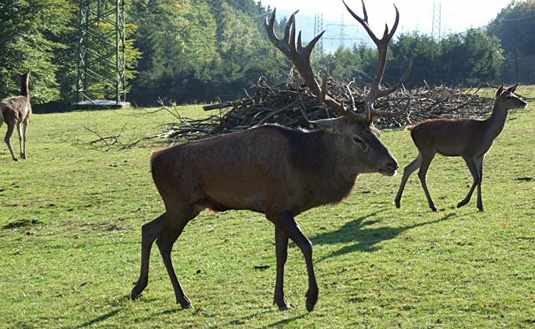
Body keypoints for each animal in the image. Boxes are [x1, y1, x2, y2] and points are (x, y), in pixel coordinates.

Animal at [130, 0, 410, 310]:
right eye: (357, 139)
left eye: (377, 131)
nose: (392, 163)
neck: (306, 170)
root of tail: (154, 159)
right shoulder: (276, 206)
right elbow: (307, 245)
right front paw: (310, 298)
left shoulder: (282, 210)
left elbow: (281, 252)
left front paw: (281, 299)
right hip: (179, 201)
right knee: (163, 241)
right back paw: (183, 298)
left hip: (186, 205)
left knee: (148, 228)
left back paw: (138, 287)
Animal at [398, 84, 528, 211]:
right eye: (508, 97)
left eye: (514, 94)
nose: (524, 103)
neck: (485, 133)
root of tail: (412, 129)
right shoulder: (467, 152)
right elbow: (476, 177)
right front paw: (462, 202)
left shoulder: (481, 155)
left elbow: (481, 177)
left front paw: (480, 206)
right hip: (427, 150)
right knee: (421, 173)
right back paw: (433, 206)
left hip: (422, 151)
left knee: (408, 168)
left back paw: (397, 202)